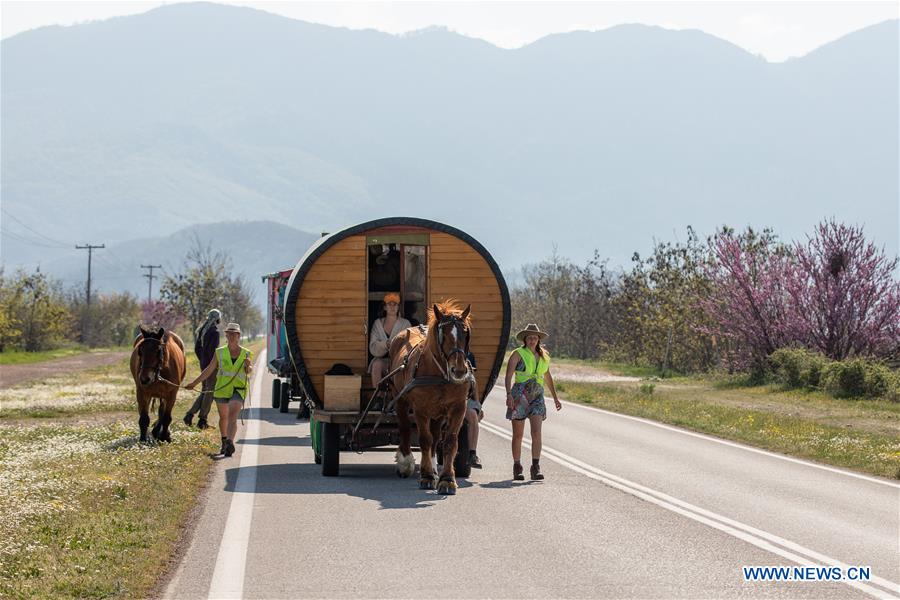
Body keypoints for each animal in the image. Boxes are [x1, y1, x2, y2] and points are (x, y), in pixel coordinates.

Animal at [388, 298, 472, 492]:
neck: (440, 374)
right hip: (400, 399)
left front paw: (446, 479)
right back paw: (406, 462)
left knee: (435, 437)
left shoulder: (458, 408)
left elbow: (449, 442)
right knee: (405, 428)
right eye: (444, 335)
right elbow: (424, 439)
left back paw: (434, 469)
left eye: (465, 333)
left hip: (438, 413)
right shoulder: (420, 409)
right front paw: (426, 477)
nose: (459, 370)